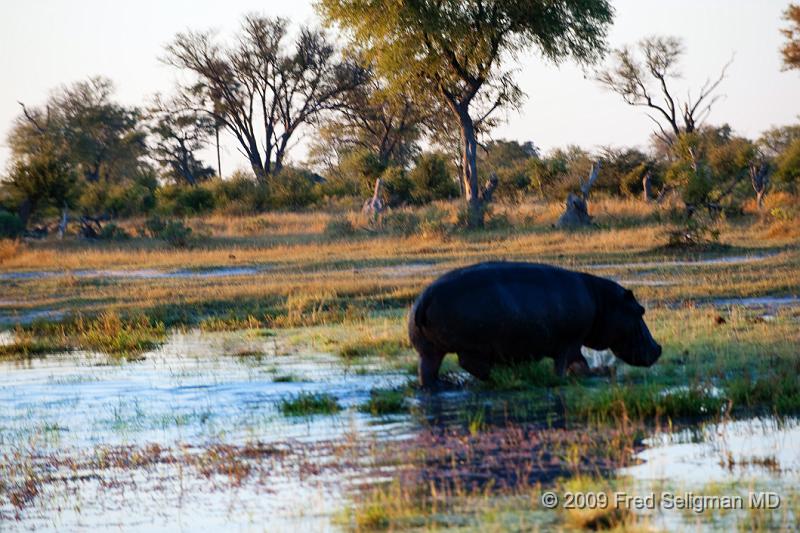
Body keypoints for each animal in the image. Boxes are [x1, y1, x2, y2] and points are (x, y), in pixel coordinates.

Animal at [406, 260, 664, 386]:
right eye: (640, 310)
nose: (658, 348)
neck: (602, 301)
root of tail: (424, 299)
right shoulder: (569, 342)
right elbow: (573, 364)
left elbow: (577, 364)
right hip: (472, 346)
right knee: (472, 365)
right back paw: (505, 377)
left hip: (428, 350)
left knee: (428, 371)